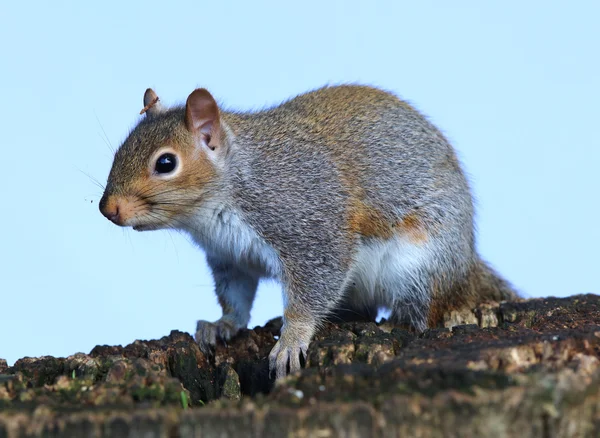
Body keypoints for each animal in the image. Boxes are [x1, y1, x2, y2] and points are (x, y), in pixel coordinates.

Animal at [98, 84, 516, 378]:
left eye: (166, 163)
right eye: (119, 150)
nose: (107, 209)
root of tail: (466, 264)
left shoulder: (311, 225)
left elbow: (314, 285)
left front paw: (290, 340)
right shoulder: (231, 258)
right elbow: (236, 298)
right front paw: (222, 325)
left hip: (421, 266)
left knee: (426, 310)